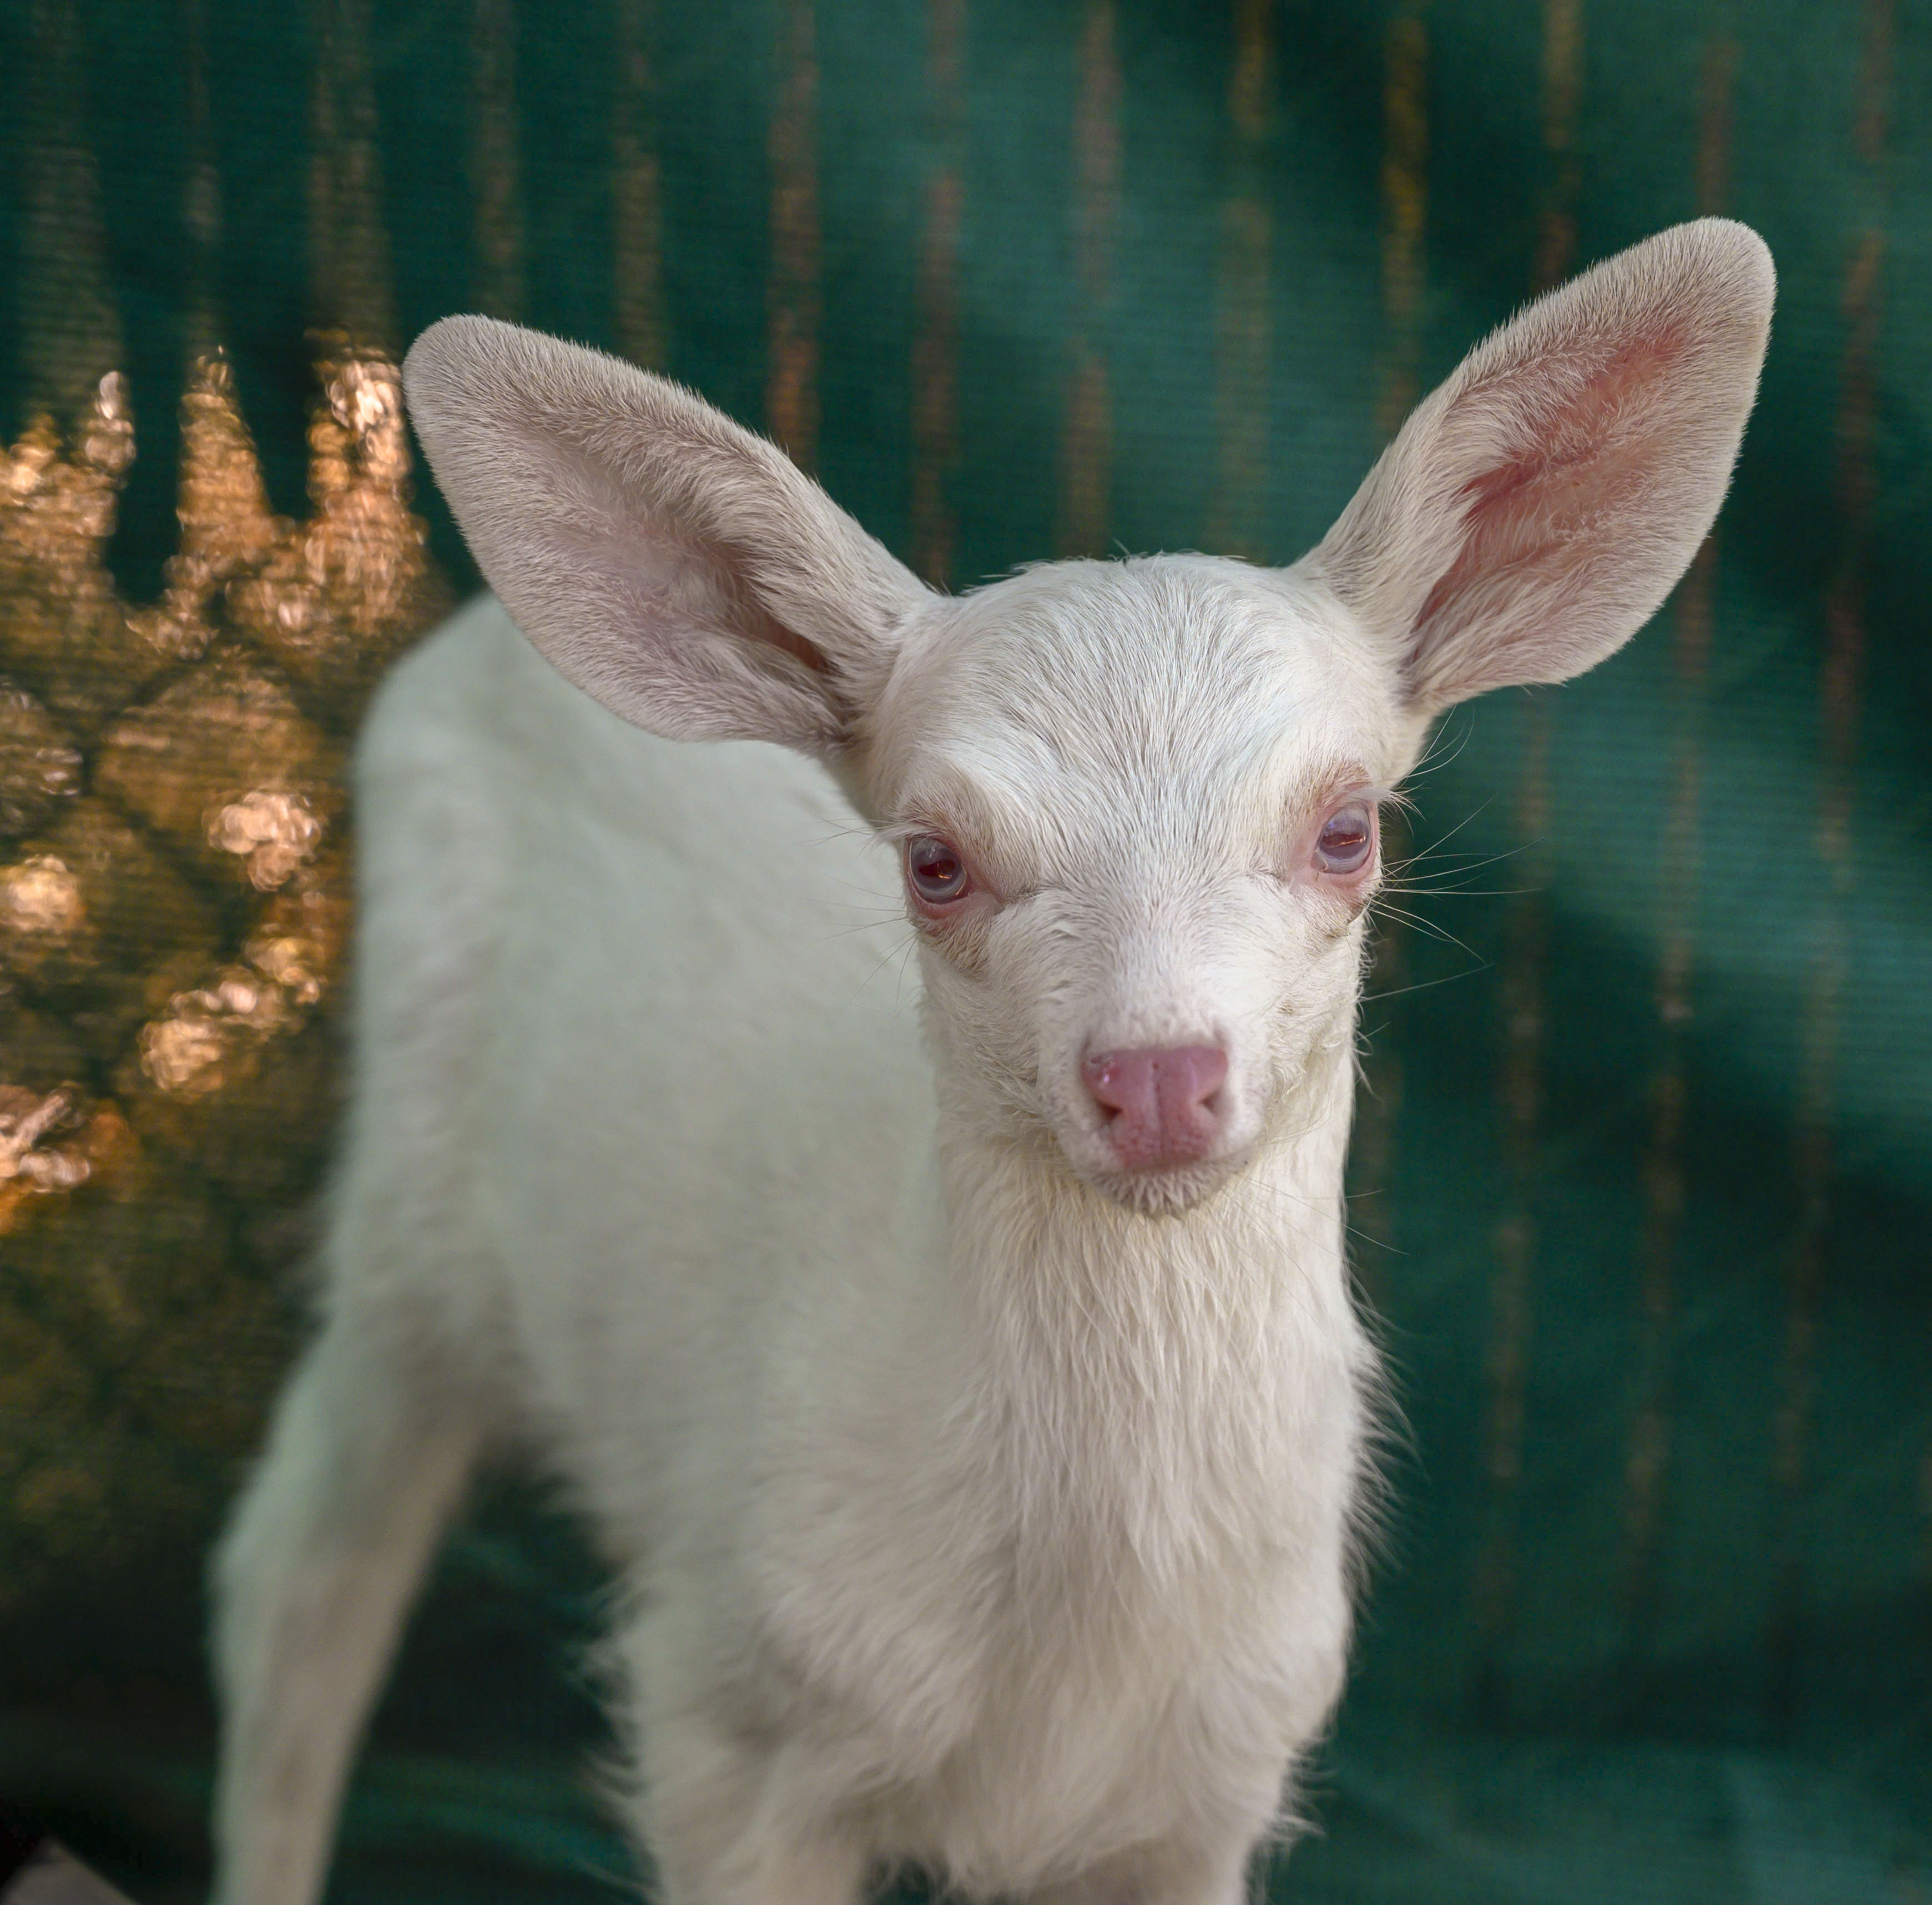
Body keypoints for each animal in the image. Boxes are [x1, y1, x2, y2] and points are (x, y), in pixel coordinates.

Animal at [208, 220, 1773, 1905]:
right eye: (934, 860)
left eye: (1348, 827)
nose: (1156, 1075)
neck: (1062, 1669)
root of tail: (467, 637)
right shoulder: (726, 1720)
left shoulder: (1218, 1778)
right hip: (406, 1207)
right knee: (296, 1573)